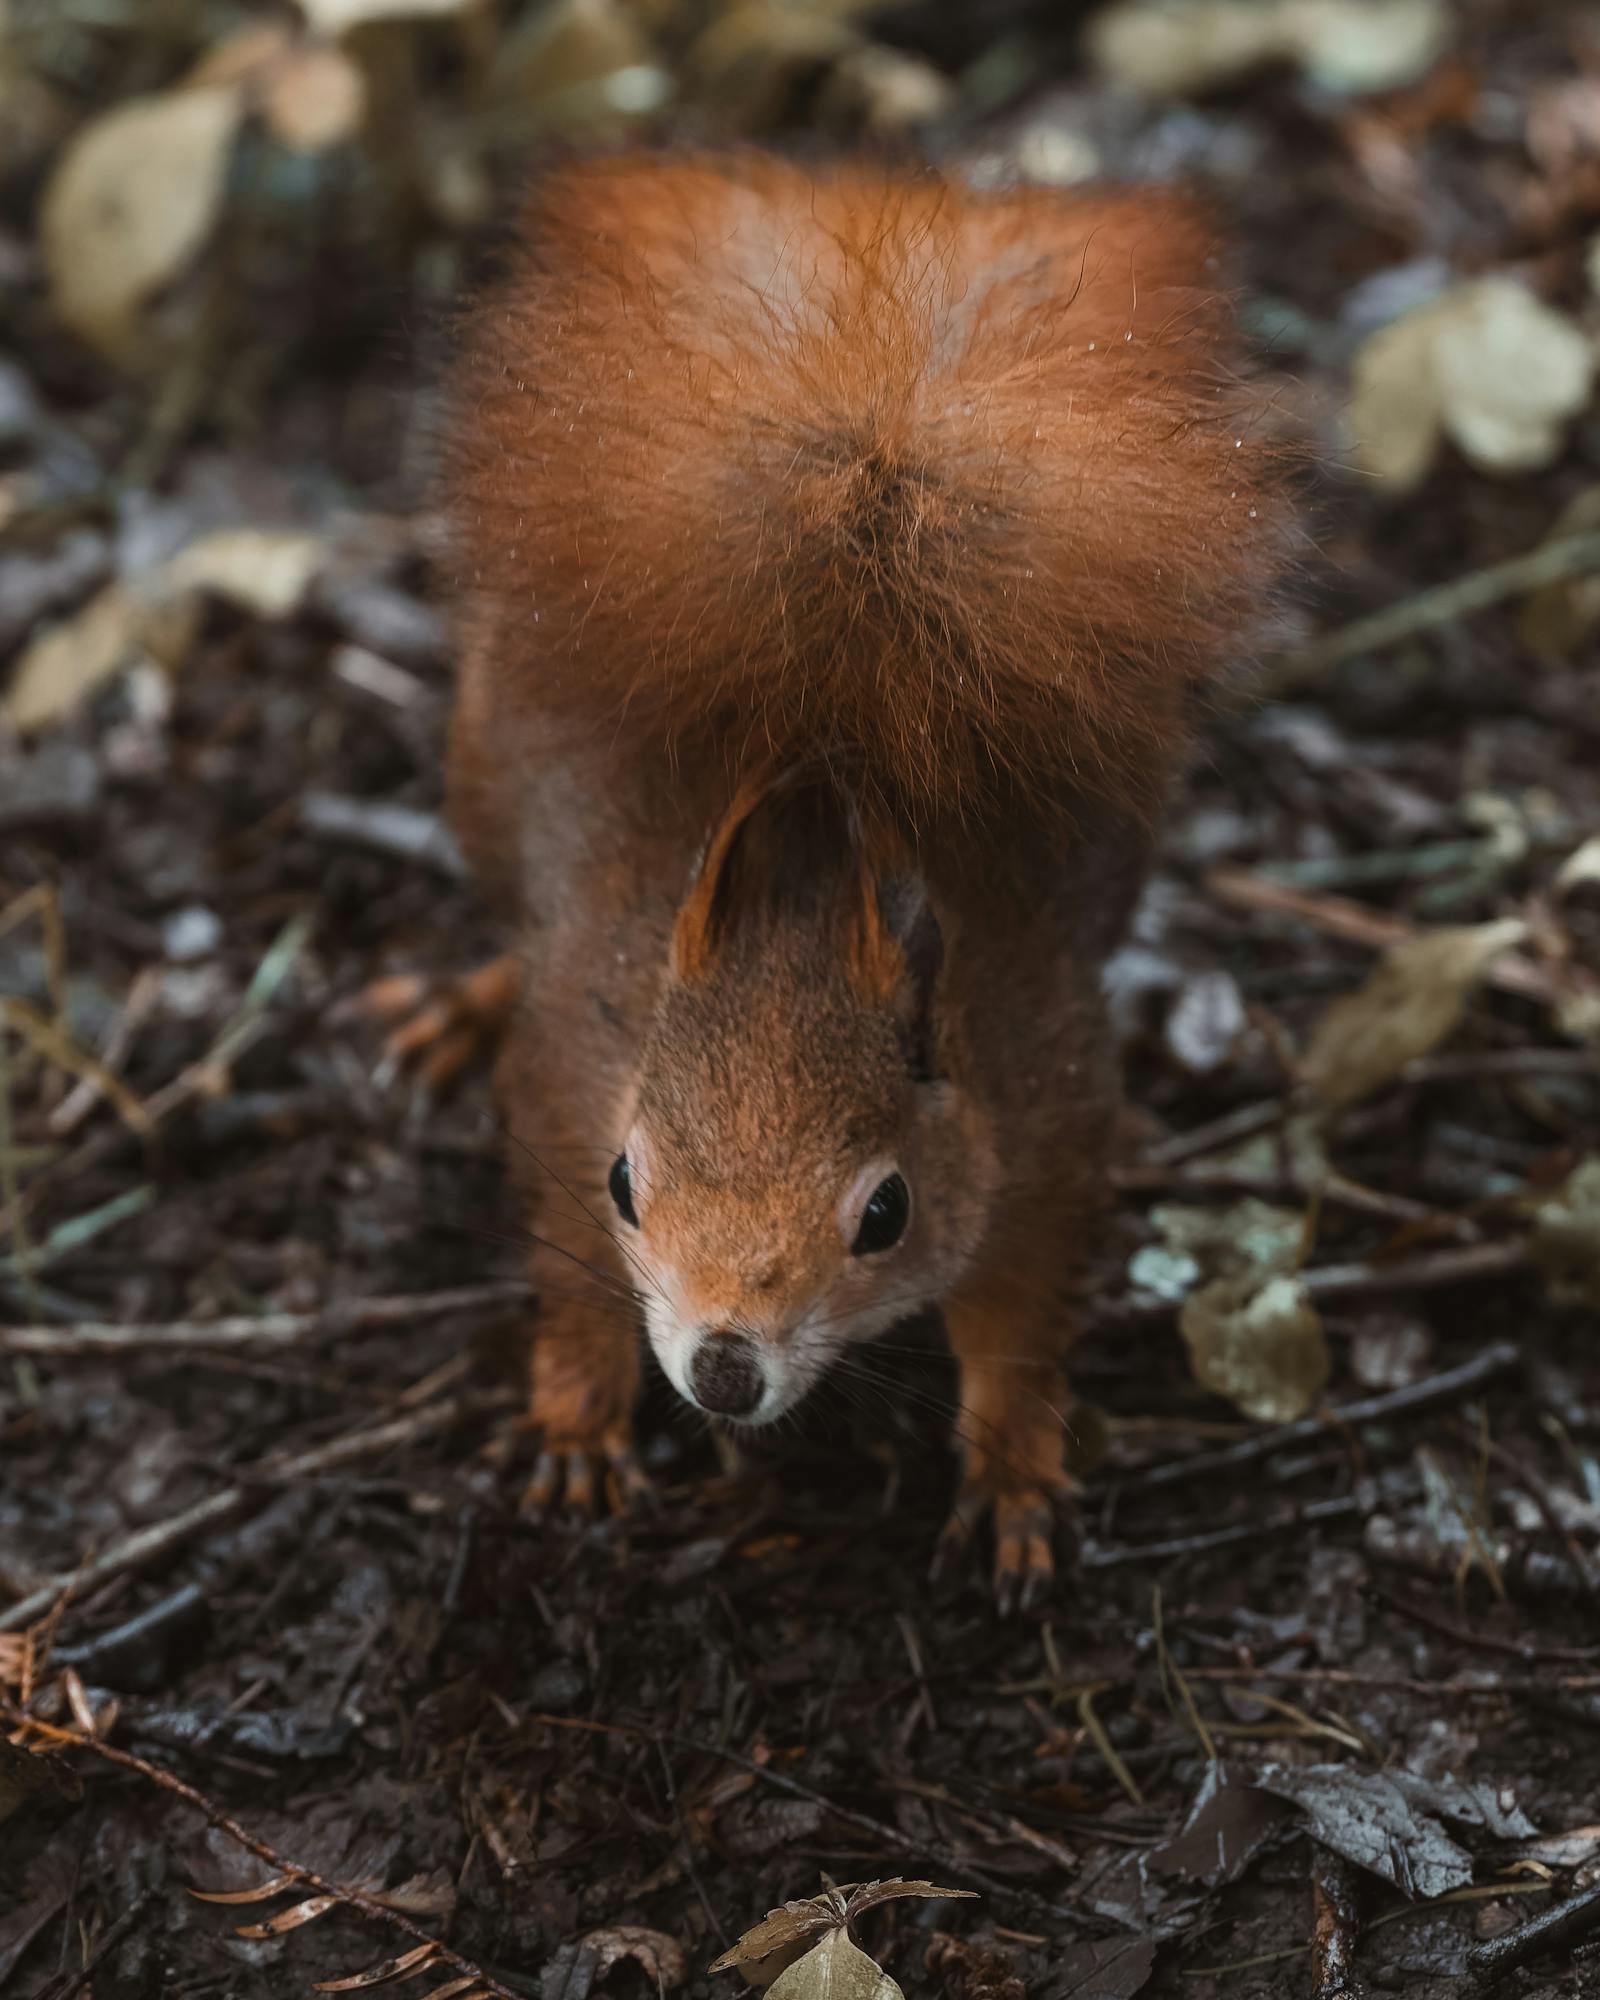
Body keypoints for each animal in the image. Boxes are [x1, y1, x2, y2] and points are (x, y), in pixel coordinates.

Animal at [422, 148, 1288, 1608]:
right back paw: (461, 998)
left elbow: (1022, 1313)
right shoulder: (566, 1081)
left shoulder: (1039, 1107)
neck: (811, 893)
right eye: (626, 1185)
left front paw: (1013, 1466)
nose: (723, 1368)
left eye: (886, 1212)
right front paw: (577, 1414)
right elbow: (570, 1268)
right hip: (484, 770)